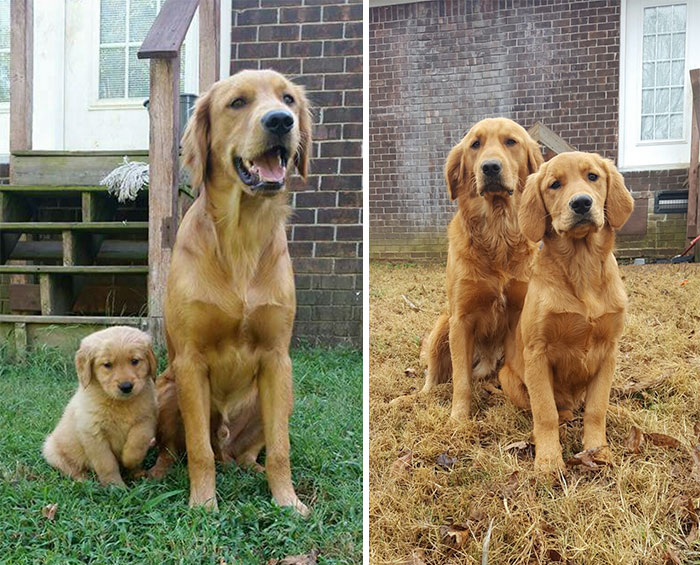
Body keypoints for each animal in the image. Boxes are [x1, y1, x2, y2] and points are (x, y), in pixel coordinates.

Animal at [41, 326, 157, 484]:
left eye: (135, 361)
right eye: (107, 365)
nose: (126, 386)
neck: (120, 403)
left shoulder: (146, 419)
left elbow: (138, 441)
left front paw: (129, 461)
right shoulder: (93, 433)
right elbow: (107, 463)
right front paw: (115, 485)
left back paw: (138, 473)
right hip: (51, 451)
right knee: (69, 469)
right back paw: (83, 479)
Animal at [150, 68, 312, 512]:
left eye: (288, 99)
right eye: (237, 102)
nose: (280, 121)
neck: (241, 237)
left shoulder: (277, 358)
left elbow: (280, 449)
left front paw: (287, 501)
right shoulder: (189, 363)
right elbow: (198, 449)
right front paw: (204, 504)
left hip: (279, 396)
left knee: (247, 452)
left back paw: (252, 469)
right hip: (166, 389)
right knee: (181, 449)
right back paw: (158, 474)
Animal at [396, 118, 544, 418]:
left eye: (511, 141)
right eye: (475, 144)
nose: (490, 167)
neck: (497, 233)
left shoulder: (519, 314)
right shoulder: (461, 319)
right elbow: (460, 380)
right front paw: (458, 419)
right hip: (443, 324)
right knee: (434, 379)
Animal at [498, 151, 636, 472]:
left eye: (593, 177)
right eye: (555, 184)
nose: (582, 203)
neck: (581, 267)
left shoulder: (608, 352)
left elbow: (597, 409)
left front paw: (598, 451)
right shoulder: (537, 353)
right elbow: (544, 411)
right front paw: (549, 460)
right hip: (508, 377)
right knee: (545, 408)